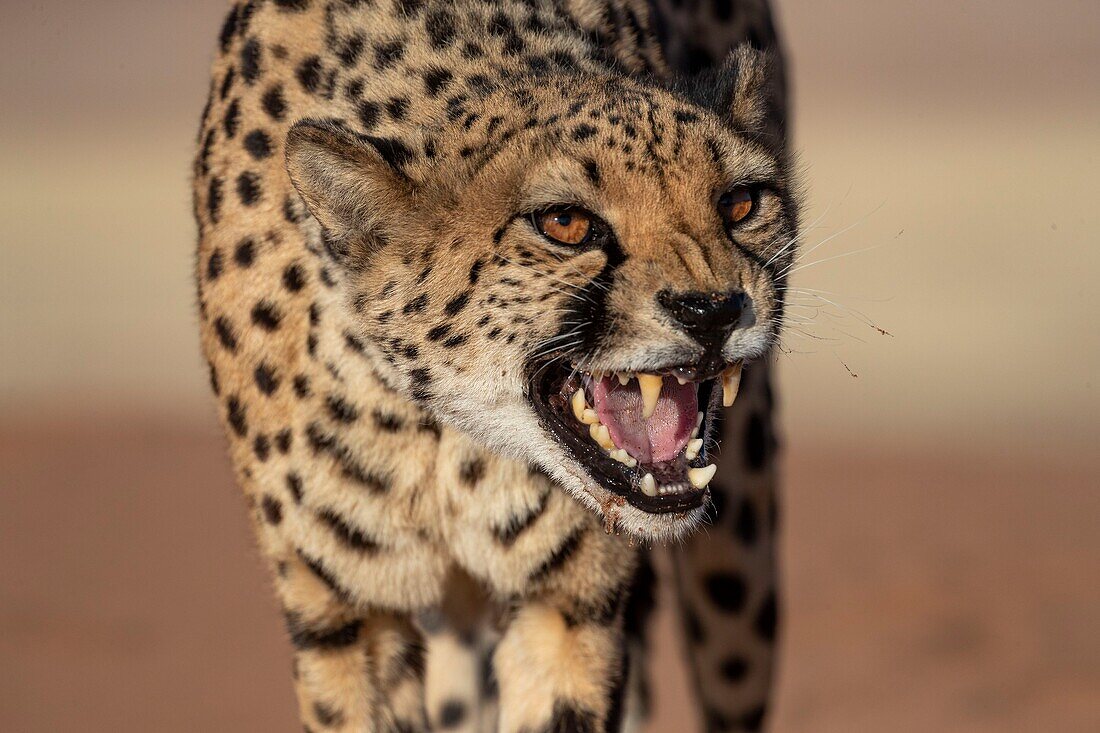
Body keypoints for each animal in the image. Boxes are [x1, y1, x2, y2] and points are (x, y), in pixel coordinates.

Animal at [198, 2, 796, 726]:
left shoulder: (565, 606)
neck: (443, 426)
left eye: (741, 203)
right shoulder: (352, 613)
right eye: (565, 223)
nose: (712, 311)